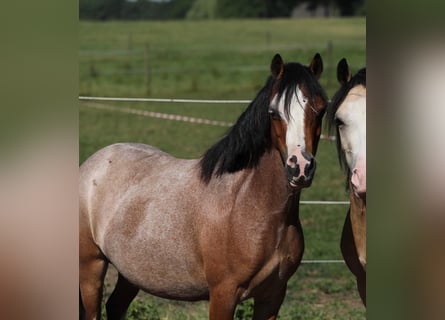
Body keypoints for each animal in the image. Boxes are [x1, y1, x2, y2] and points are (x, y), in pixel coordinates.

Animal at [79, 53, 326, 318]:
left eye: (321, 110)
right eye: (273, 113)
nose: (300, 167)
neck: (249, 204)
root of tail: (92, 163)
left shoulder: (272, 297)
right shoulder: (223, 294)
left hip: (131, 273)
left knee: (115, 306)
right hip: (91, 267)